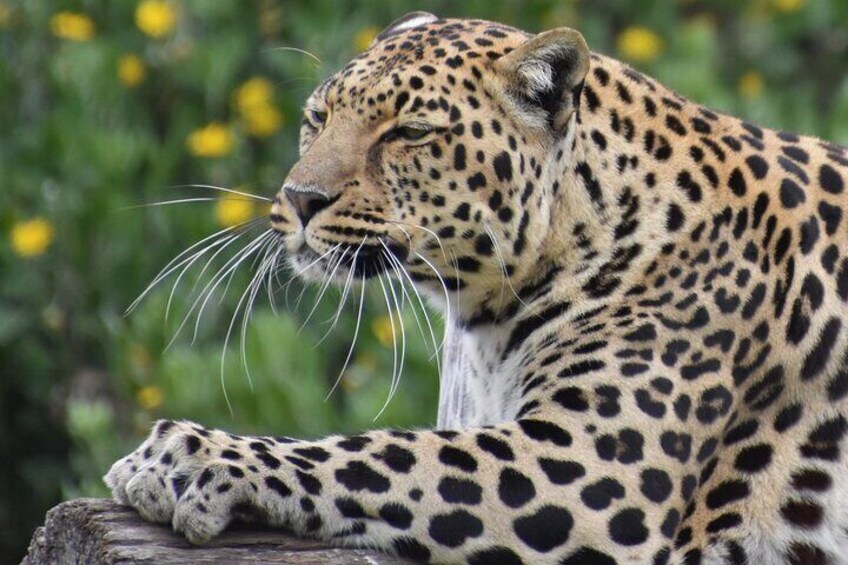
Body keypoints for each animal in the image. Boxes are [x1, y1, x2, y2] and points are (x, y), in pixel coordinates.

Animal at [106, 12, 848, 564]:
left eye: (409, 132)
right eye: (318, 117)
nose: (300, 198)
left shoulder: (594, 468)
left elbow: (384, 454)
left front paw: (185, 456)